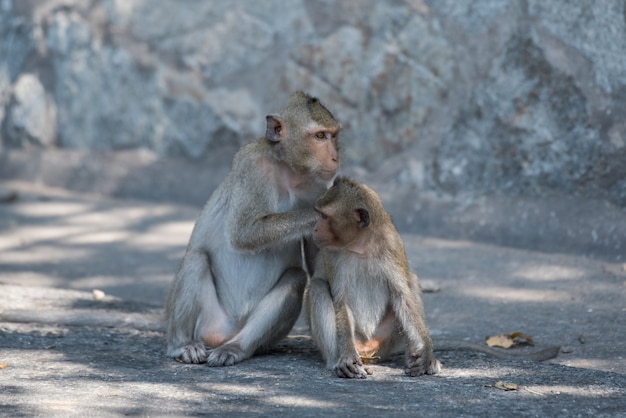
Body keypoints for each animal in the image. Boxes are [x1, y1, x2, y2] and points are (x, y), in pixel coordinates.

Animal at [166, 91, 338, 366]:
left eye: (334, 135)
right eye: (320, 136)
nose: (335, 157)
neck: (289, 171)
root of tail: (223, 333)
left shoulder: (320, 186)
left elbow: (314, 267)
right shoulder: (252, 166)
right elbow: (243, 234)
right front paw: (323, 214)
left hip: (259, 336)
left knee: (295, 277)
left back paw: (237, 348)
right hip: (207, 321)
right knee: (196, 259)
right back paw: (182, 345)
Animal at [304, 177, 560, 378]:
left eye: (324, 216)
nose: (315, 228)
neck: (361, 245)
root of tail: (372, 349)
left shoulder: (391, 244)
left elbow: (402, 294)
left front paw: (427, 351)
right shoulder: (333, 255)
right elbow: (341, 301)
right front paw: (347, 356)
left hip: (388, 336)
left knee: (412, 281)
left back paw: (415, 356)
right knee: (317, 287)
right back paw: (338, 362)